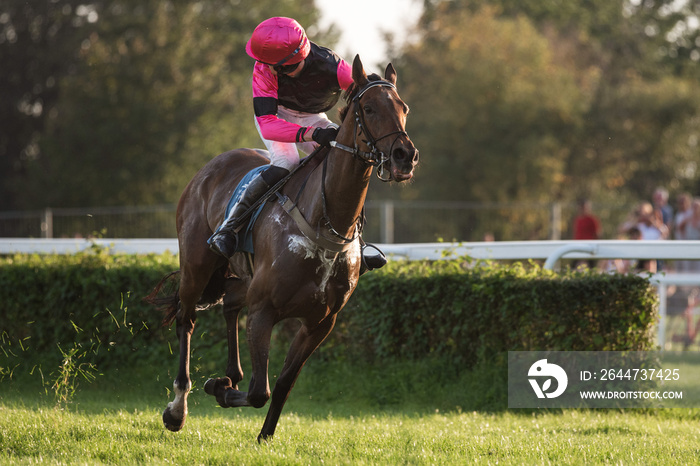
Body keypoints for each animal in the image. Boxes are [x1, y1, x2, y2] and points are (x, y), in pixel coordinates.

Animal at [146, 54, 418, 440]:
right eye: (368, 108)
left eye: (403, 107)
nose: (404, 156)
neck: (325, 224)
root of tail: (209, 167)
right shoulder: (264, 310)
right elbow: (259, 391)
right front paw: (219, 389)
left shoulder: (321, 322)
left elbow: (284, 384)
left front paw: (264, 435)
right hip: (197, 264)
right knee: (187, 319)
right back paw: (177, 409)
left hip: (242, 277)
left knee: (230, 304)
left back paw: (230, 374)